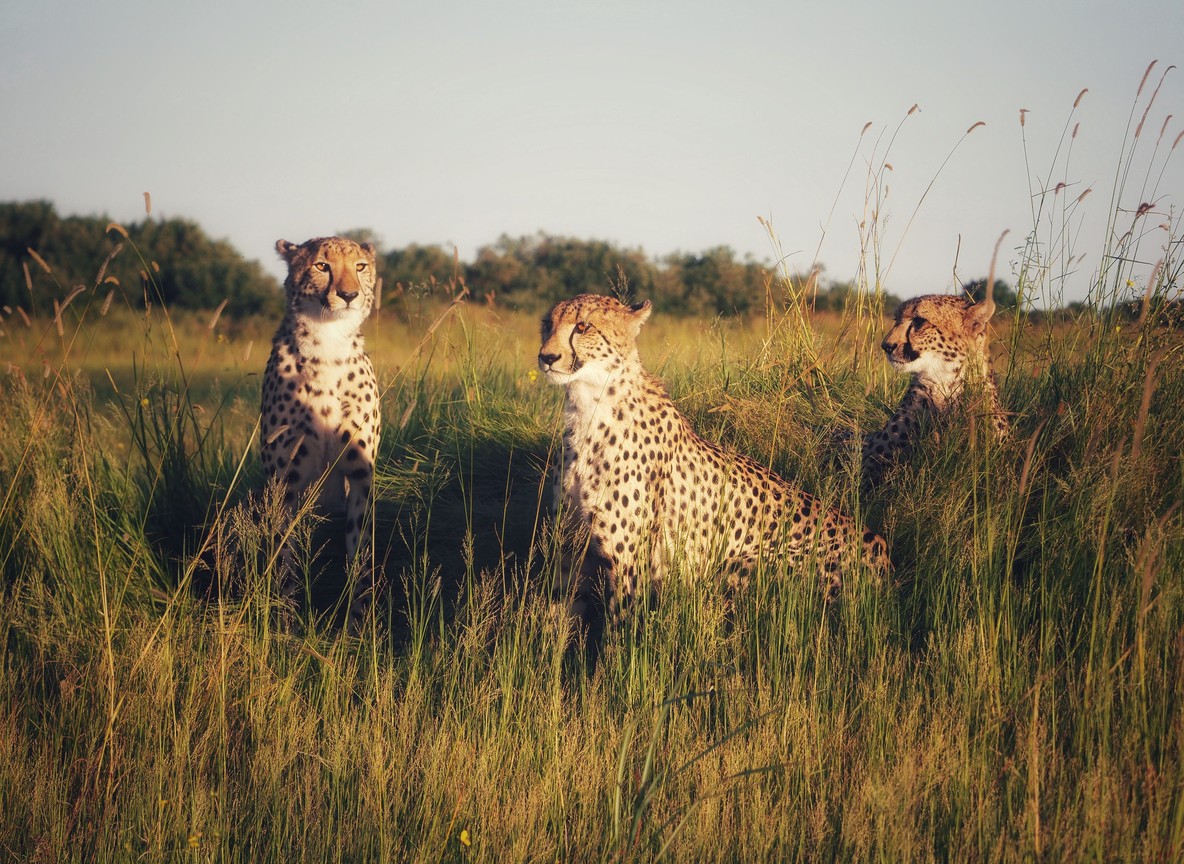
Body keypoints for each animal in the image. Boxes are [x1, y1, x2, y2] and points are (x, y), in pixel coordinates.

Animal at [261, 236, 381, 631]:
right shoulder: (284, 481)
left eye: (360, 266)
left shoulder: (360, 475)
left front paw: (358, 624)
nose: (348, 294)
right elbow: (283, 552)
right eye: (321, 266)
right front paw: (284, 622)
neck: (328, 344)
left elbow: (359, 551)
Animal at [538, 293, 890, 626]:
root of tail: (880, 545)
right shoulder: (568, 548)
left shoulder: (629, 565)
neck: (589, 404)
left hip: (739, 566)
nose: (546, 357)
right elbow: (556, 624)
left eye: (583, 326)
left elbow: (618, 635)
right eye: (547, 324)